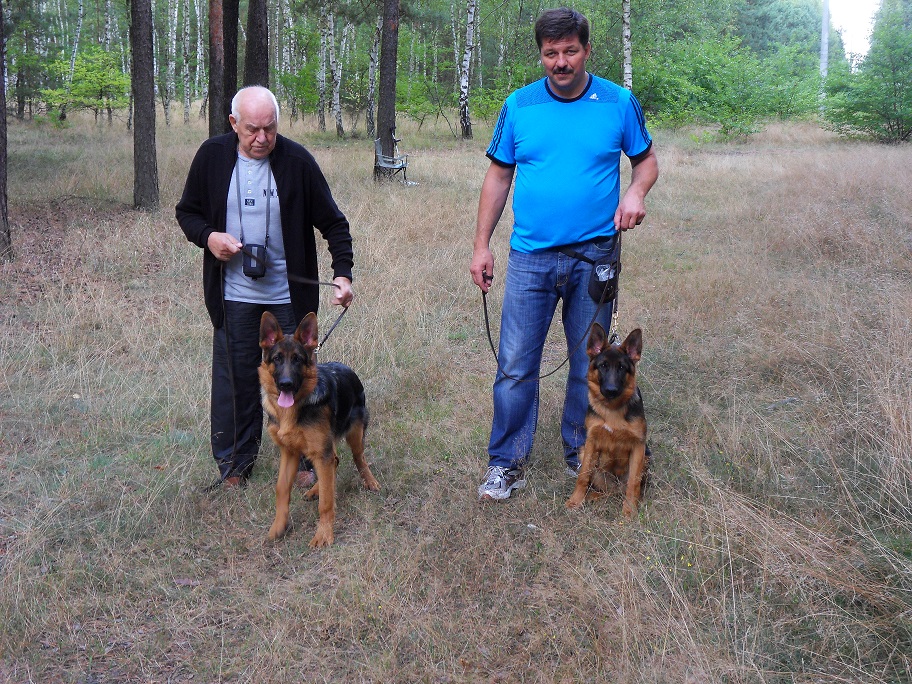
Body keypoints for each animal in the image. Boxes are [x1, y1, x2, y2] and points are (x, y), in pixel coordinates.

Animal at [258, 311, 380, 547]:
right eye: (277, 359)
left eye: (297, 359)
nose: (286, 384)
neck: (294, 409)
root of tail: (346, 368)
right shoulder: (290, 453)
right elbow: (282, 489)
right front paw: (278, 527)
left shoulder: (321, 452)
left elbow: (326, 502)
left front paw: (324, 534)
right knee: (335, 462)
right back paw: (316, 489)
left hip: (354, 435)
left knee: (358, 459)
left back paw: (369, 481)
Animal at [566, 324, 648, 518]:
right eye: (603, 366)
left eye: (622, 367)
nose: (611, 390)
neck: (612, 410)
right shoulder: (591, 442)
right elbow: (583, 475)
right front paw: (575, 501)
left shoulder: (638, 446)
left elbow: (633, 483)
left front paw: (629, 510)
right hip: (583, 452)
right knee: (603, 487)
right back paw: (592, 496)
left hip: (646, 458)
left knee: (627, 488)